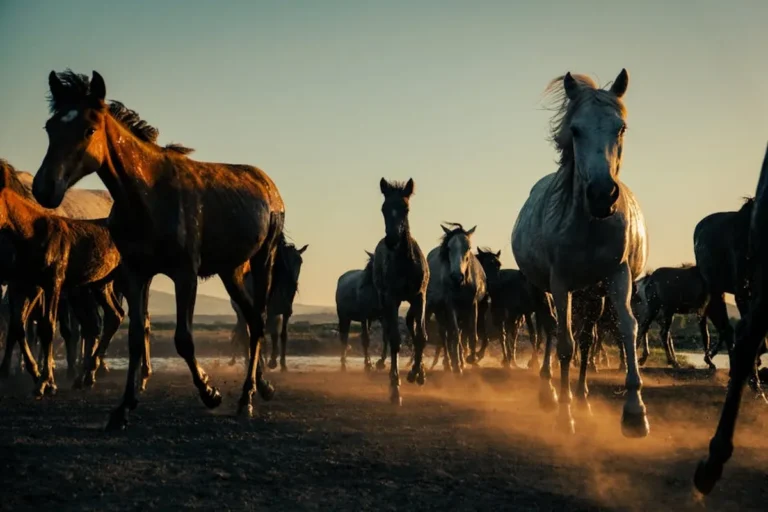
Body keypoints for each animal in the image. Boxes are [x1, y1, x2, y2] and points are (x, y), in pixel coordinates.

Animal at [0, 159, 124, 397]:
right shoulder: (25, 285)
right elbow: (19, 326)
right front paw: (35, 374)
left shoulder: (52, 284)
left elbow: (47, 327)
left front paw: (45, 383)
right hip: (100, 285)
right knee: (111, 318)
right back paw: (86, 376)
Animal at [33, 70, 286, 428]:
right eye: (49, 127)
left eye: (89, 129)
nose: (44, 189)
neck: (148, 195)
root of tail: (267, 184)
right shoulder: (136, 273)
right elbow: (136, 337)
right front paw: (123, 408)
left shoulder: (185, 275)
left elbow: (184, 338)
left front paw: (210, 392)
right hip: (231, 271)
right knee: (252, 319)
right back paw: (261, 386)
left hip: (264, 260)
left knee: (260, 320)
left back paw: (247, 397)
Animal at [229, 235, 308, 372]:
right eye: (284, 261)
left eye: (300, 261)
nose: (293, 284)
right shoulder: (270, 311)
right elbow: (271, 333)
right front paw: (272, 362)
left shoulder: (285, 312)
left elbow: (282, 334)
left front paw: (282, 364)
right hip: (242, 314)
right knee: (246, 335)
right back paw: (251, 362)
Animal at [511, 69, 650, 437]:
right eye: (575, 129)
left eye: (620, 128)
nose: (602, 194)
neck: (591, 224)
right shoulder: (560, 283)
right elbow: (564, 343)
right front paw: (564, 414)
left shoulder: (618, 275)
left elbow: (627, 328)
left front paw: (635, 412)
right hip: (541, 288)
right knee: (551, 329)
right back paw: (550, 392)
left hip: (593, 294)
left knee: (586, 341)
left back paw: (583, 397)